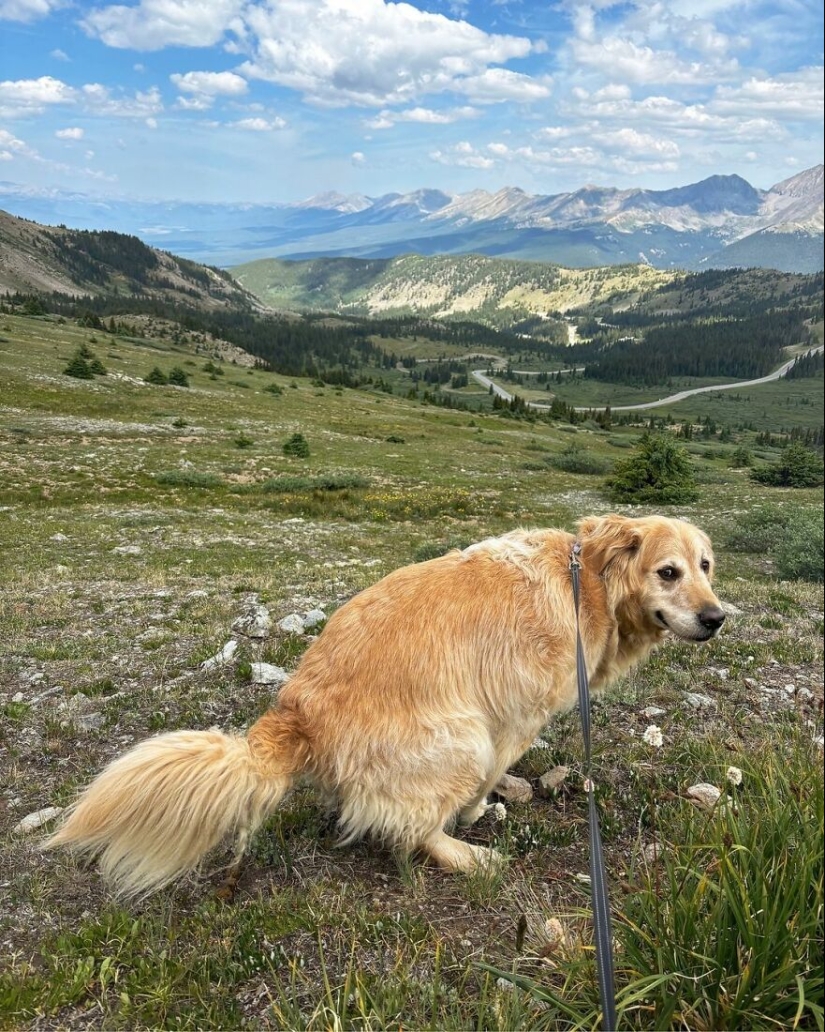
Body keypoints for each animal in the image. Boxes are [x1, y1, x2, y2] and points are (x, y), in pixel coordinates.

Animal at [48, 513, 726, 895]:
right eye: (668, 572)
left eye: (706, 566)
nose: (717, 618)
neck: (587, 580)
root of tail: (297, 713)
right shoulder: (514, 718)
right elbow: (491, 776)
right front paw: (477, 811)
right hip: (460, 736)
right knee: (413, 829)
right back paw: (466, 853)